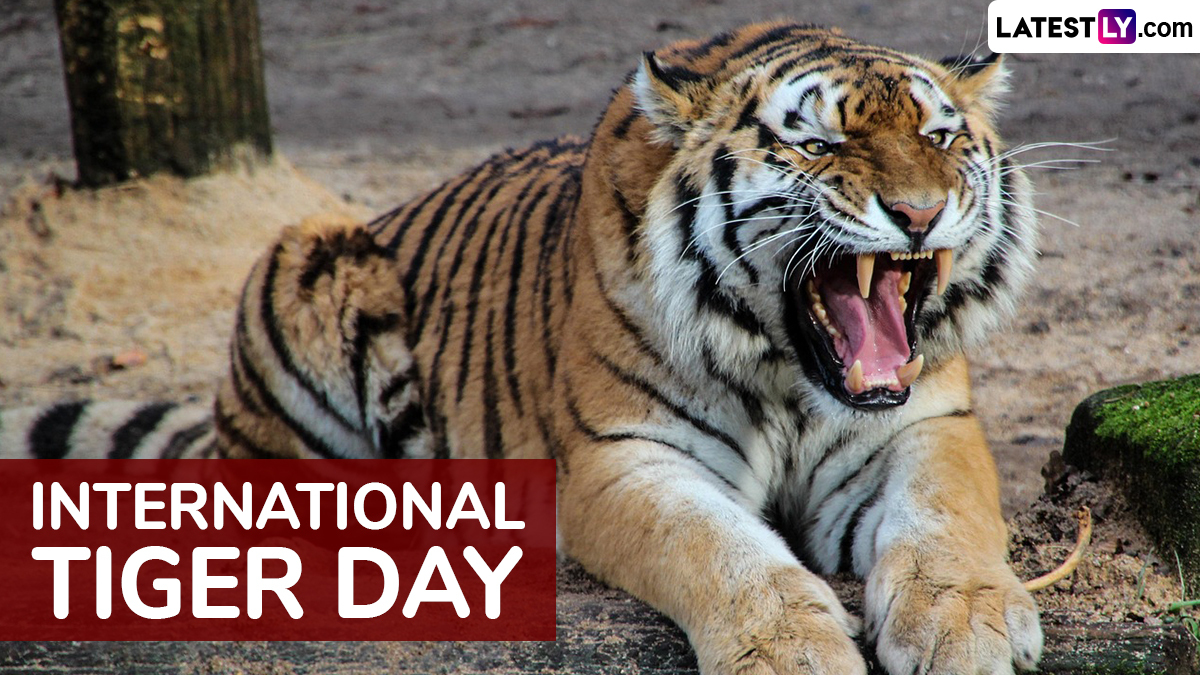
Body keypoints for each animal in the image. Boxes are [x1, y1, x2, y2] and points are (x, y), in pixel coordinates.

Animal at [2, 22, 1045, 675]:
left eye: (941, 138)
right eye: (819, 146)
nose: (919, 213)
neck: (790, 373)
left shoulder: (923, 423)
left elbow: (948, 517)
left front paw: (969, 624)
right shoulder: (623, 459)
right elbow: (720, 549)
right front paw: (793, 650)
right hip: (305, 253)